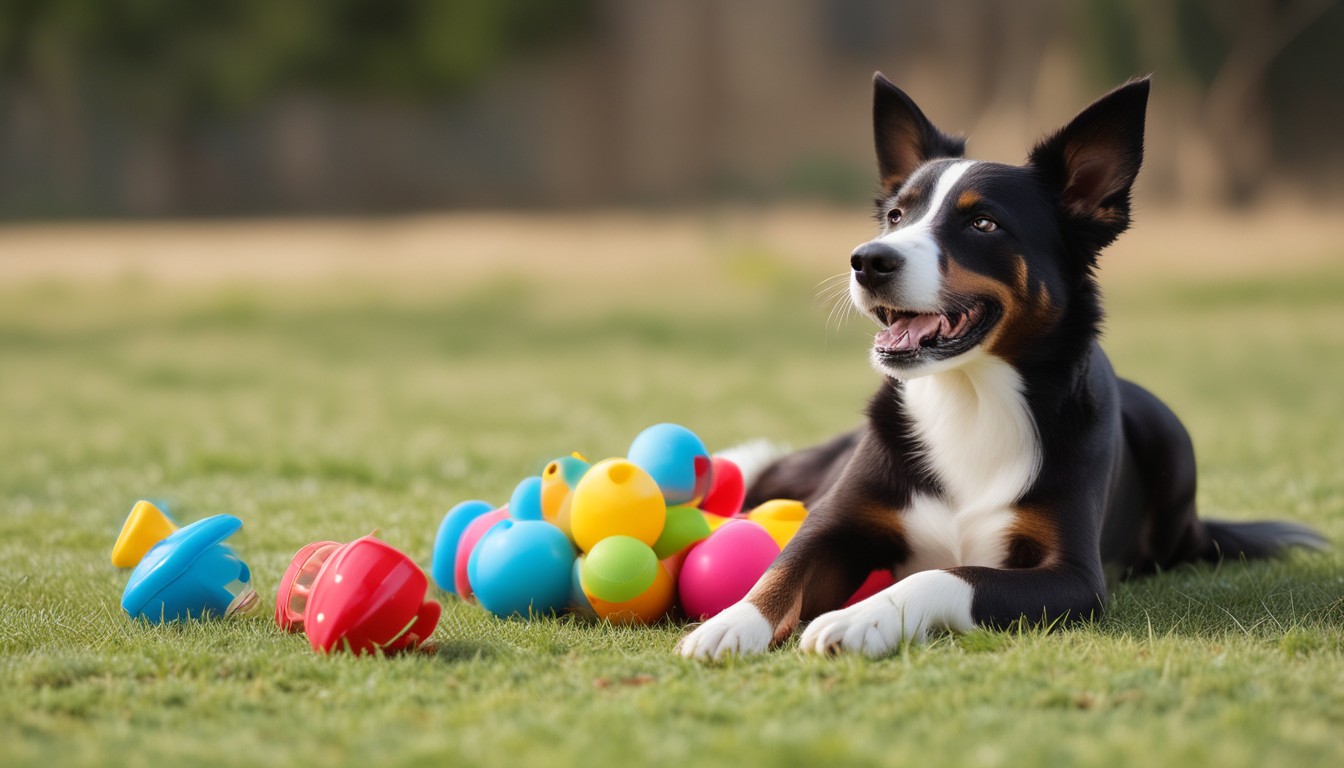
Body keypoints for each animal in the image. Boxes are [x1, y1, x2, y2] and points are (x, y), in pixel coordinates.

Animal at [677, 71, 1327, 661]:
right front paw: (730, 624)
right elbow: (783, 568)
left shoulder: (1072, 577)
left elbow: (947, 575)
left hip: (1173, 440)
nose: (867, 261)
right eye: (896, 216)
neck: (970, 396)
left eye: (983, 222)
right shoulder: (839, 524)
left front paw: (862, 618)